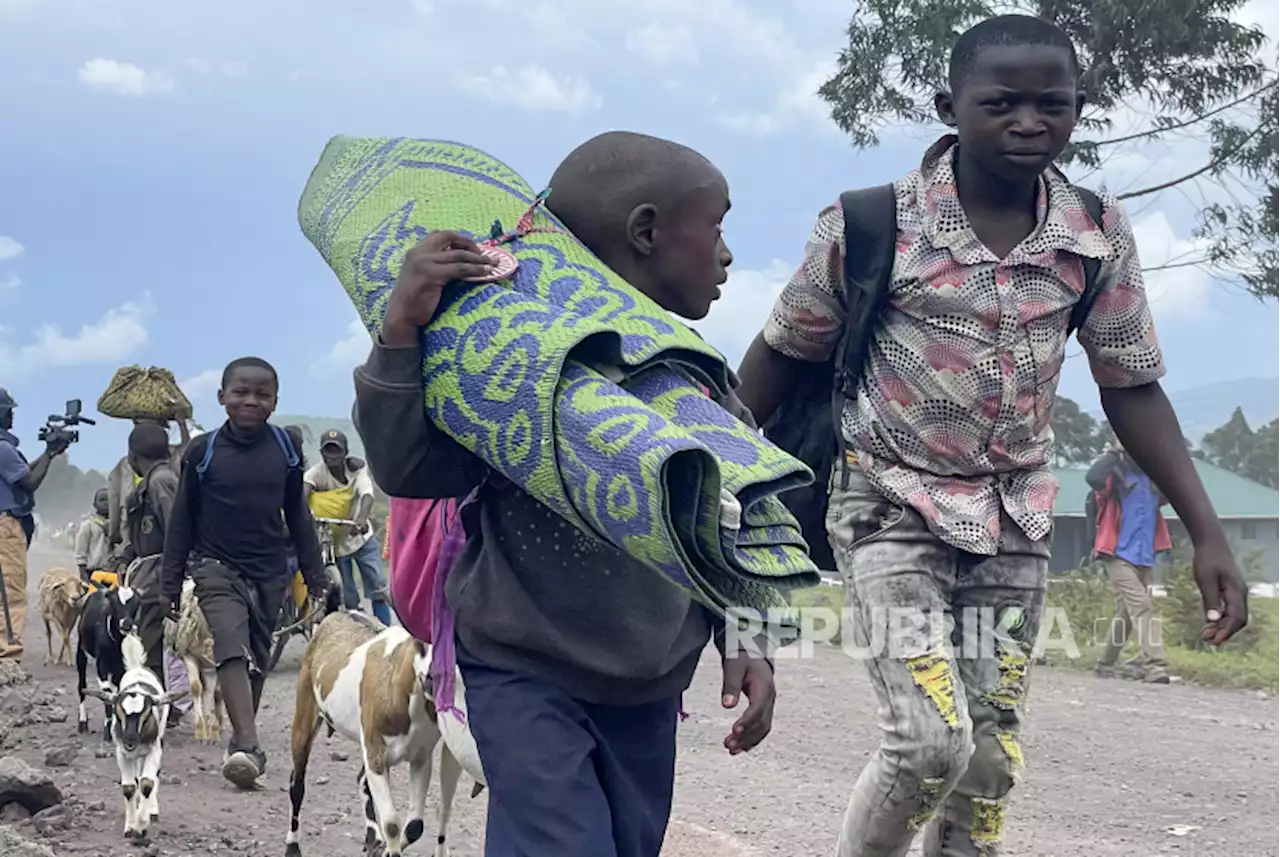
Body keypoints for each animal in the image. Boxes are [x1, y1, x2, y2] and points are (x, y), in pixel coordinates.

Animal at [76, 583, 141, 746]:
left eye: (136, 604)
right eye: (114, 604)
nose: (126, 624)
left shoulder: (122, 669)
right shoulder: (102, 668)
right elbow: (106, 695)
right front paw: (107, 732)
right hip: (81, 653)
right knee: (81, 686)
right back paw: (82, 722)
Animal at [83, 631, 185, 839]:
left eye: (145, 714)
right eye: (118, 711)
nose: (130, 739)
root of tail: (138, 667)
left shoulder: (154, 749)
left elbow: (147, 783)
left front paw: (142, 824)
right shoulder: (122, 753)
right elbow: (129, 787)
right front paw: (130, 826)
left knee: (152, 776)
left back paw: (151, 809)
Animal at [162, 578, 222, 746]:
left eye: (189, 614)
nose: (177, 646)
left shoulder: (213, 663)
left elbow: (214, 692)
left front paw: (213, 729)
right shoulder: (190, 656)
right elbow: (196, 688)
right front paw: (201, 730)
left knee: (216, 692)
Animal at [288, 611, 468, 857]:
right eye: (420, 641)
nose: (434, 676)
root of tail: (335, 614)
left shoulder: (420, 757)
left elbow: (415, 826)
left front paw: (382, 848)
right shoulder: (376, 753)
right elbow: (391, 822)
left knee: (362, 781)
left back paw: (373, 838)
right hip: (305, 711)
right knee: (297, 784)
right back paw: (292, 846)